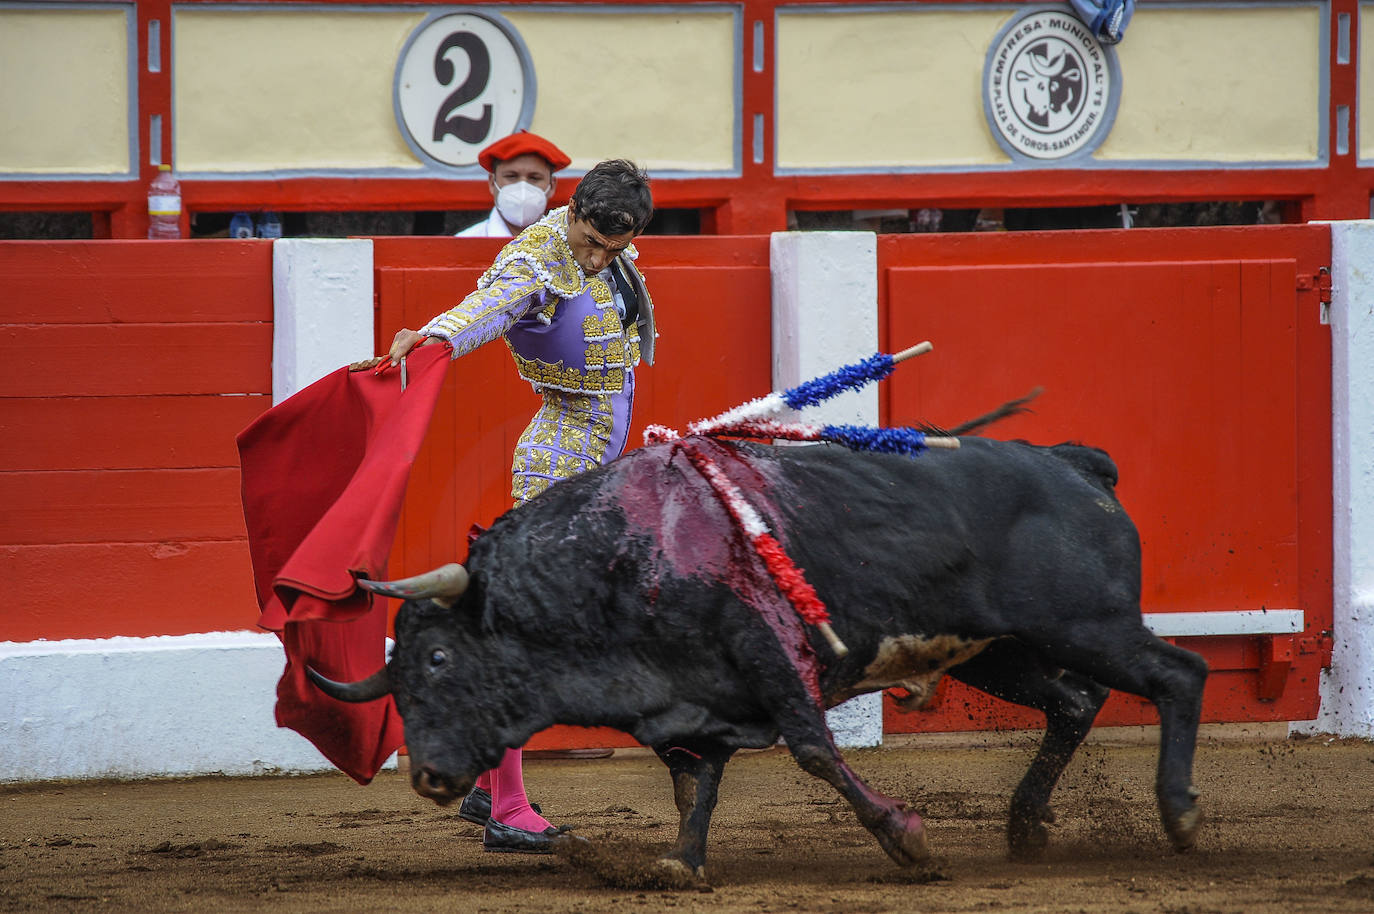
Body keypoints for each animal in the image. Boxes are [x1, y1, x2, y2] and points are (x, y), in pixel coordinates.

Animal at [309, 434, 1203, 879]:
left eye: (436, 660)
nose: (428, 775)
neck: (617, 561)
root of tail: (1072, 465)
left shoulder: (771, 661)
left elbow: (813, 751)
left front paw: (906, 840)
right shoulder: (694, 702)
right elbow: (696, 781)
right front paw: (681, 863)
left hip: (1085, 623)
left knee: (1178, 675)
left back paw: (1181, 815)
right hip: (1005, 651)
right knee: (1075, 702)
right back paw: (1025, 826)